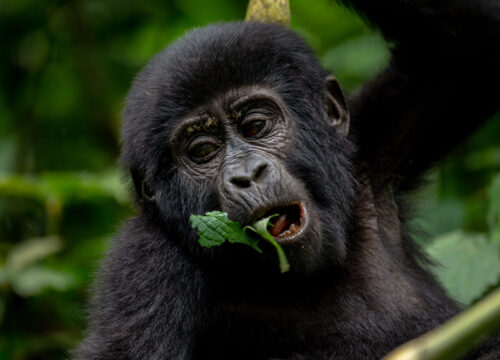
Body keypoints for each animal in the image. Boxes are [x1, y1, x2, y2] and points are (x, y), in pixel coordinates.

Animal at [75, 0, 500, 360]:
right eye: (202, 151)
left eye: (255, 126)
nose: (247, 175)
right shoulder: (143, 264)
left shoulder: (370, 149)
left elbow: (462, 49)